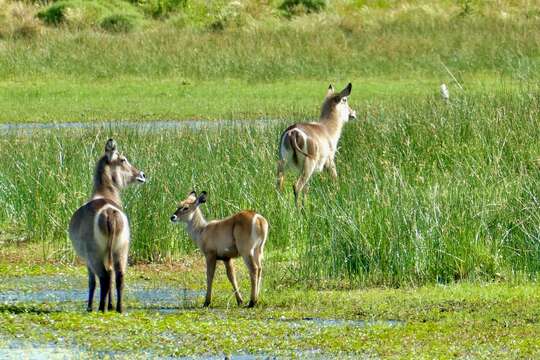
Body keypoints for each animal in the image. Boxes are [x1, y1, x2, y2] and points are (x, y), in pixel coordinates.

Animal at [68, 139, 147, 314]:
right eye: (123, 159)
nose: (142, 175)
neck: (104, 193)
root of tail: (110, 212)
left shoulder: (88, 259)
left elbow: (92, 282)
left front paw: (91, 307)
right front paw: (110, 305)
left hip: (95, 254)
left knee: (103, 277)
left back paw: (100, 308)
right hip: (121, 249)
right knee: (118, 276)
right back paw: (118, 308)